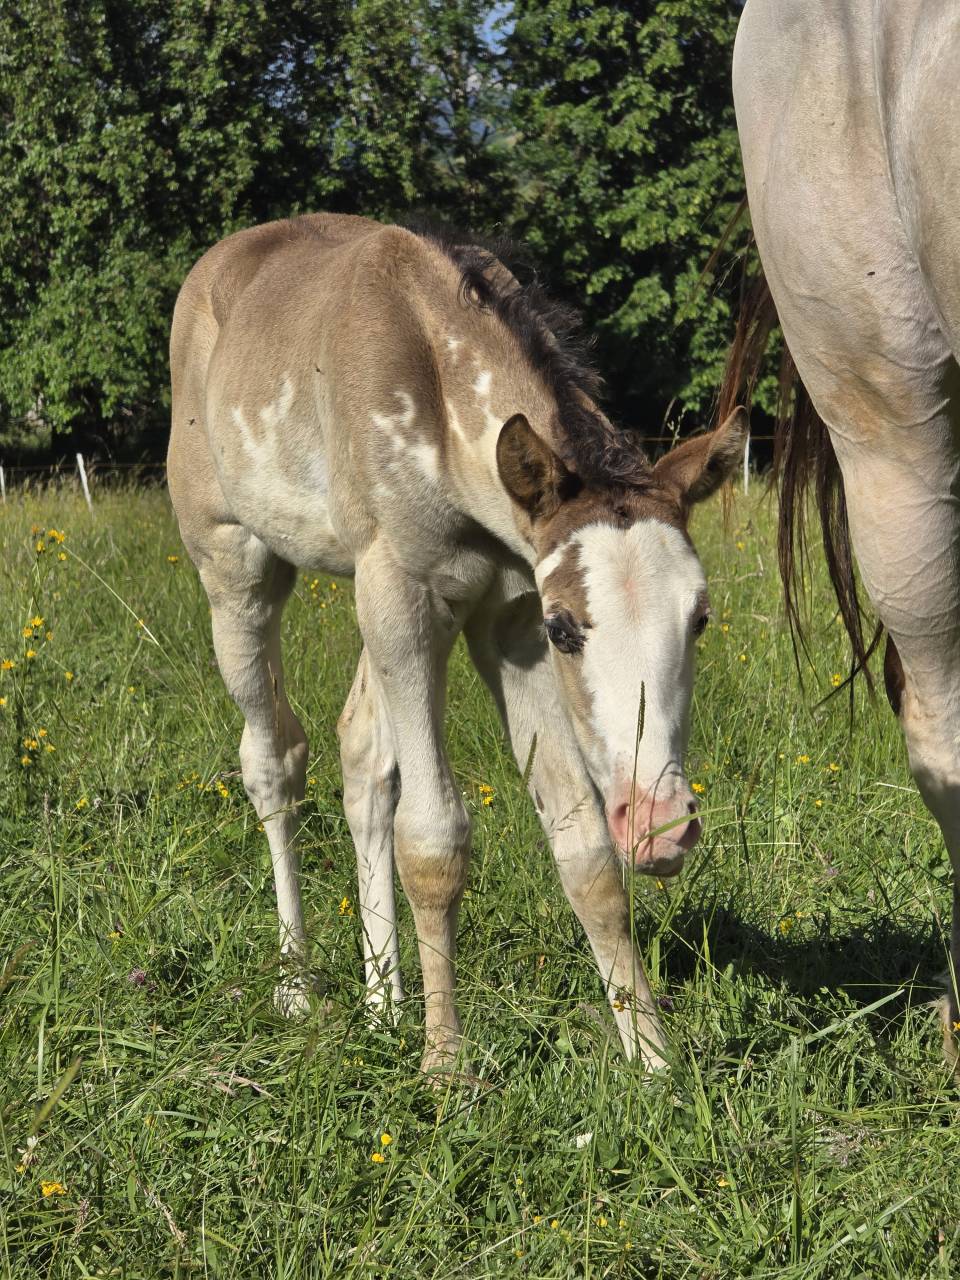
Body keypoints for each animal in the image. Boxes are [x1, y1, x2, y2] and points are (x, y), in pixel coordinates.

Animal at [167, 213, 746, 1075]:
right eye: (567, 627)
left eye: (699, 618)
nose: (663, 827)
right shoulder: (409, 598)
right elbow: (434, 838)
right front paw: (445, 1068)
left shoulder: (504, 619)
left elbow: (582, 848)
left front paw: (653, 1061)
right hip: (238, 569)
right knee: (273, 762)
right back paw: (299, 986)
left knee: (360, 752)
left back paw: (382, 1005)